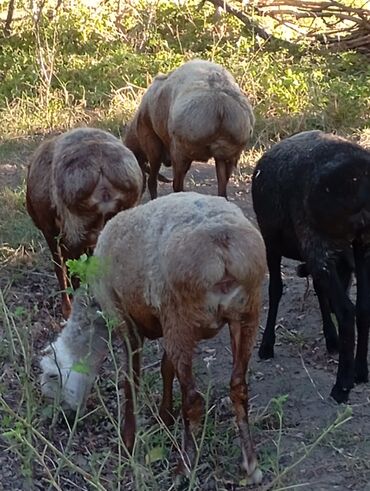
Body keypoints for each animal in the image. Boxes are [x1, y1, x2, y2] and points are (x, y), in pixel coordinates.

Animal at [124, 59, 254, 200]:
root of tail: (221, 106)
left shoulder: (152, 141)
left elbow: (152, 181)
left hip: (179, 150)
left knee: (174, 185)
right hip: (230, 155)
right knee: (222, 191)